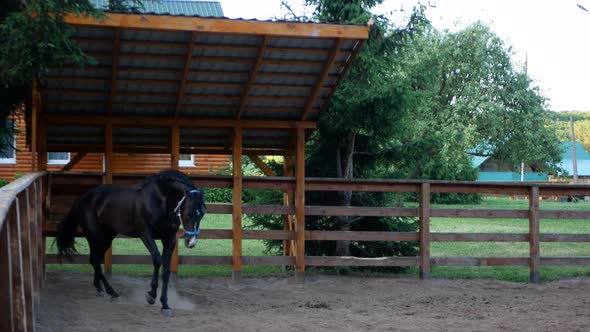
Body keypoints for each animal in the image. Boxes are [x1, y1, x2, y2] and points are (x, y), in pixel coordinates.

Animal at [57, 171, 206, 316]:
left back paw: (100, 290)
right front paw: (151, 295)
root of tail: (82, 198)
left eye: (202, 214)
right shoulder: (146, 236)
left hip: (107, 237)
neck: (161, 201)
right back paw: (112, 292)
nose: (191, 242)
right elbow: (157, 260)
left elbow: (166, 270)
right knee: (94, 260)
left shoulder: (169, 239)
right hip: (95, 236)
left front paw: (165, 305)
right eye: (188, 214)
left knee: (96, 260)